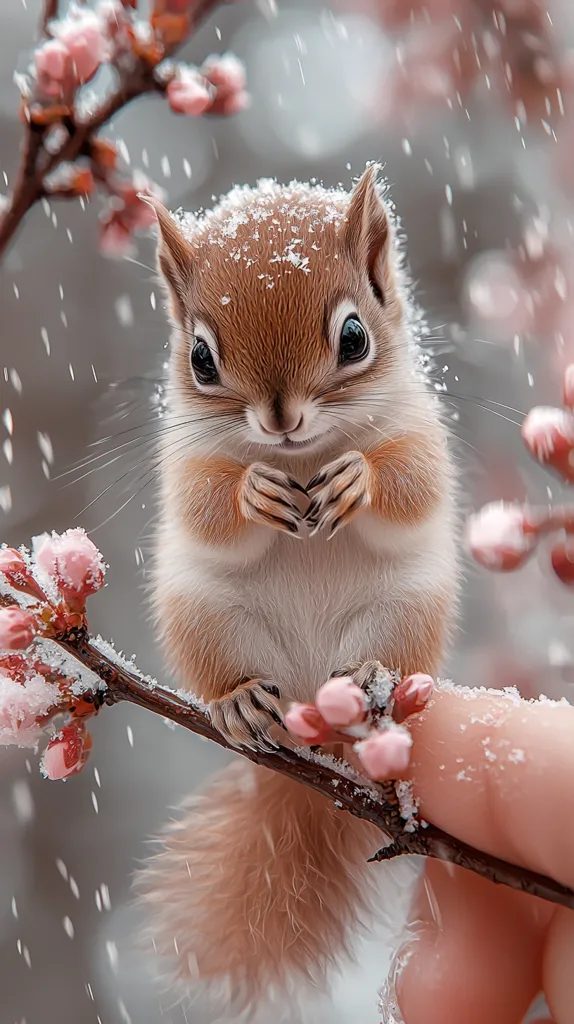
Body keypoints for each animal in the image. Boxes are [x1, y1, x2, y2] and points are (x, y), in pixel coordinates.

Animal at [139, 165, 459, 1012]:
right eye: (201, 359)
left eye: (354, 338)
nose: (280, 421)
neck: (302, 457)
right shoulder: (182, 458)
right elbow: (205, 503)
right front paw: (253, 491)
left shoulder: (421, 429)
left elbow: (412, 482)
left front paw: (359, 481)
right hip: (206, 617)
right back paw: (240, 700)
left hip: (405, 612)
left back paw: (370, 677)